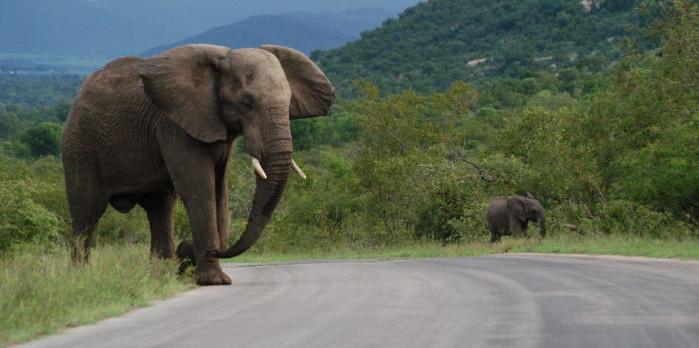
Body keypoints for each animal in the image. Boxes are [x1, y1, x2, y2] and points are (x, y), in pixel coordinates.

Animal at [61, 44, 334, 286]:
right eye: (247, 103)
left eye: (288, 103)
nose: (185, 250)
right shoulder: (175, 125)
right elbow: (199, 188)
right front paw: (214, 281)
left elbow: (219, 191)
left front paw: (203, 268)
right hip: (80, 148)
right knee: (86, 214)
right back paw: (81, 278)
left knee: (160, 209)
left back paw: (159, 277)